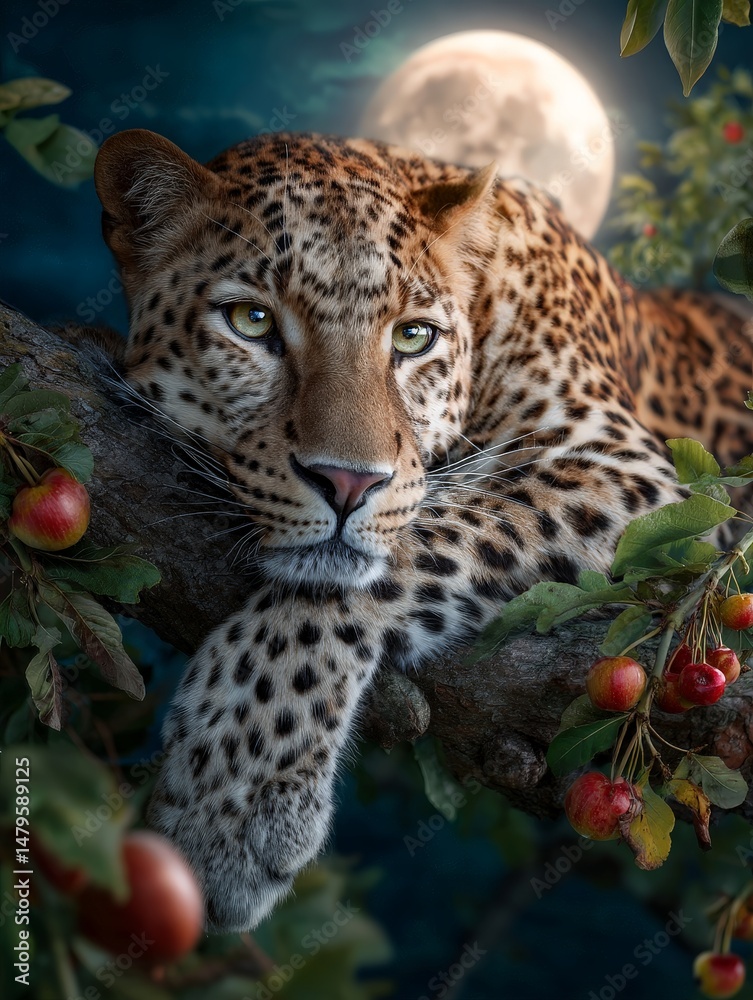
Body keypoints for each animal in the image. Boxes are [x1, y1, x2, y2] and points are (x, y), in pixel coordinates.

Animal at [82, 126, 753, 933]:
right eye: (252, 322)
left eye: (412, 337)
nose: (347, 483)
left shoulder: (626, 469)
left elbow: (416, 540)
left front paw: (233, 801)